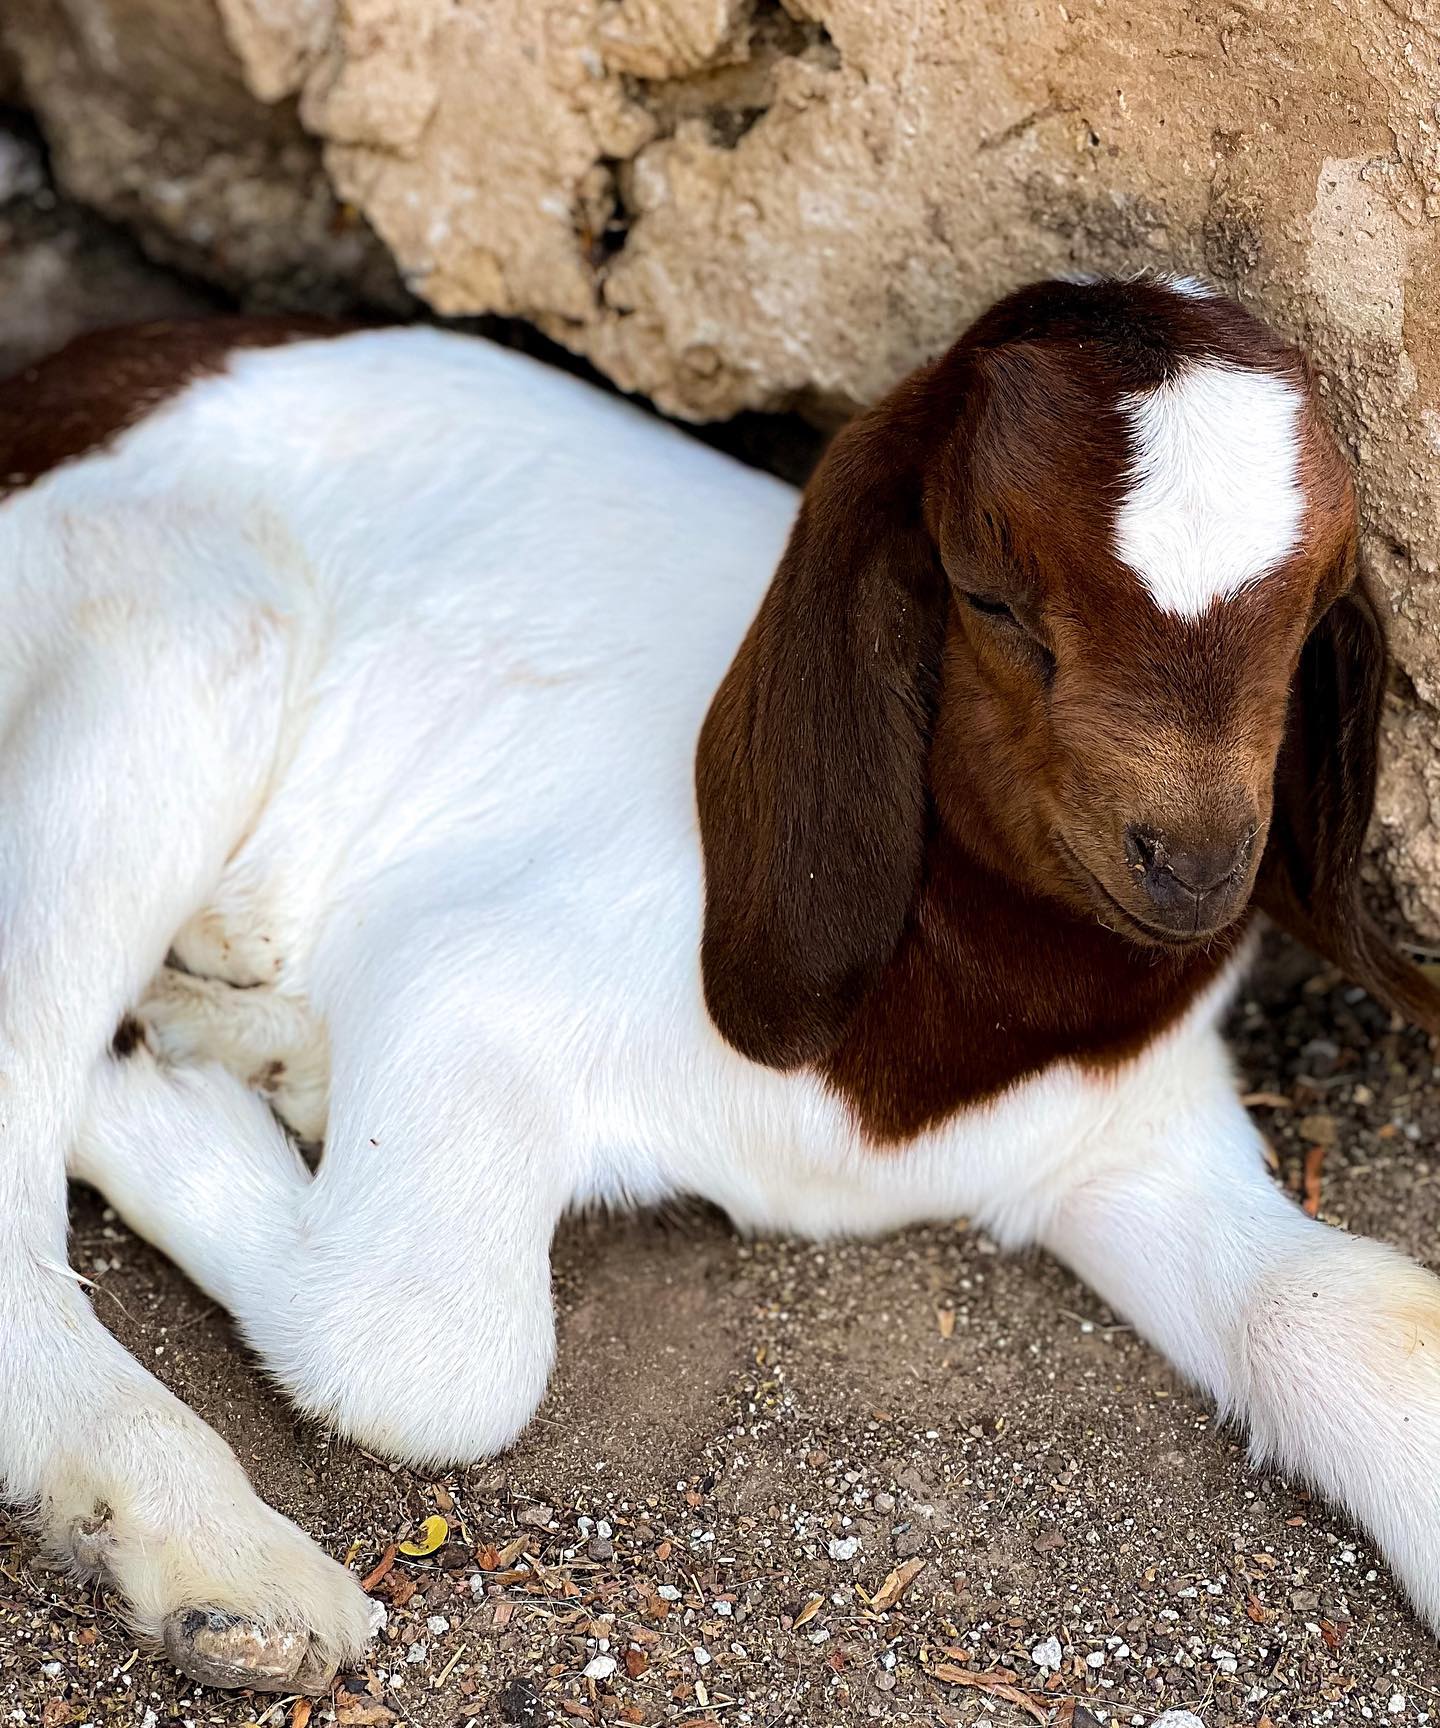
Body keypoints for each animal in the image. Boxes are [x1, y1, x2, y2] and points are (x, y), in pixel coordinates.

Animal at [0, 276, 1436, 1694]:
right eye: (992, 597)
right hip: (178, 634)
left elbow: (1356, 1317)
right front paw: (157, 1094)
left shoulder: (1126, 1135)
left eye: (1313, 614)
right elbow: (431, 1356)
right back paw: (217, 1557)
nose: (1194, 868)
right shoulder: (470, 987)